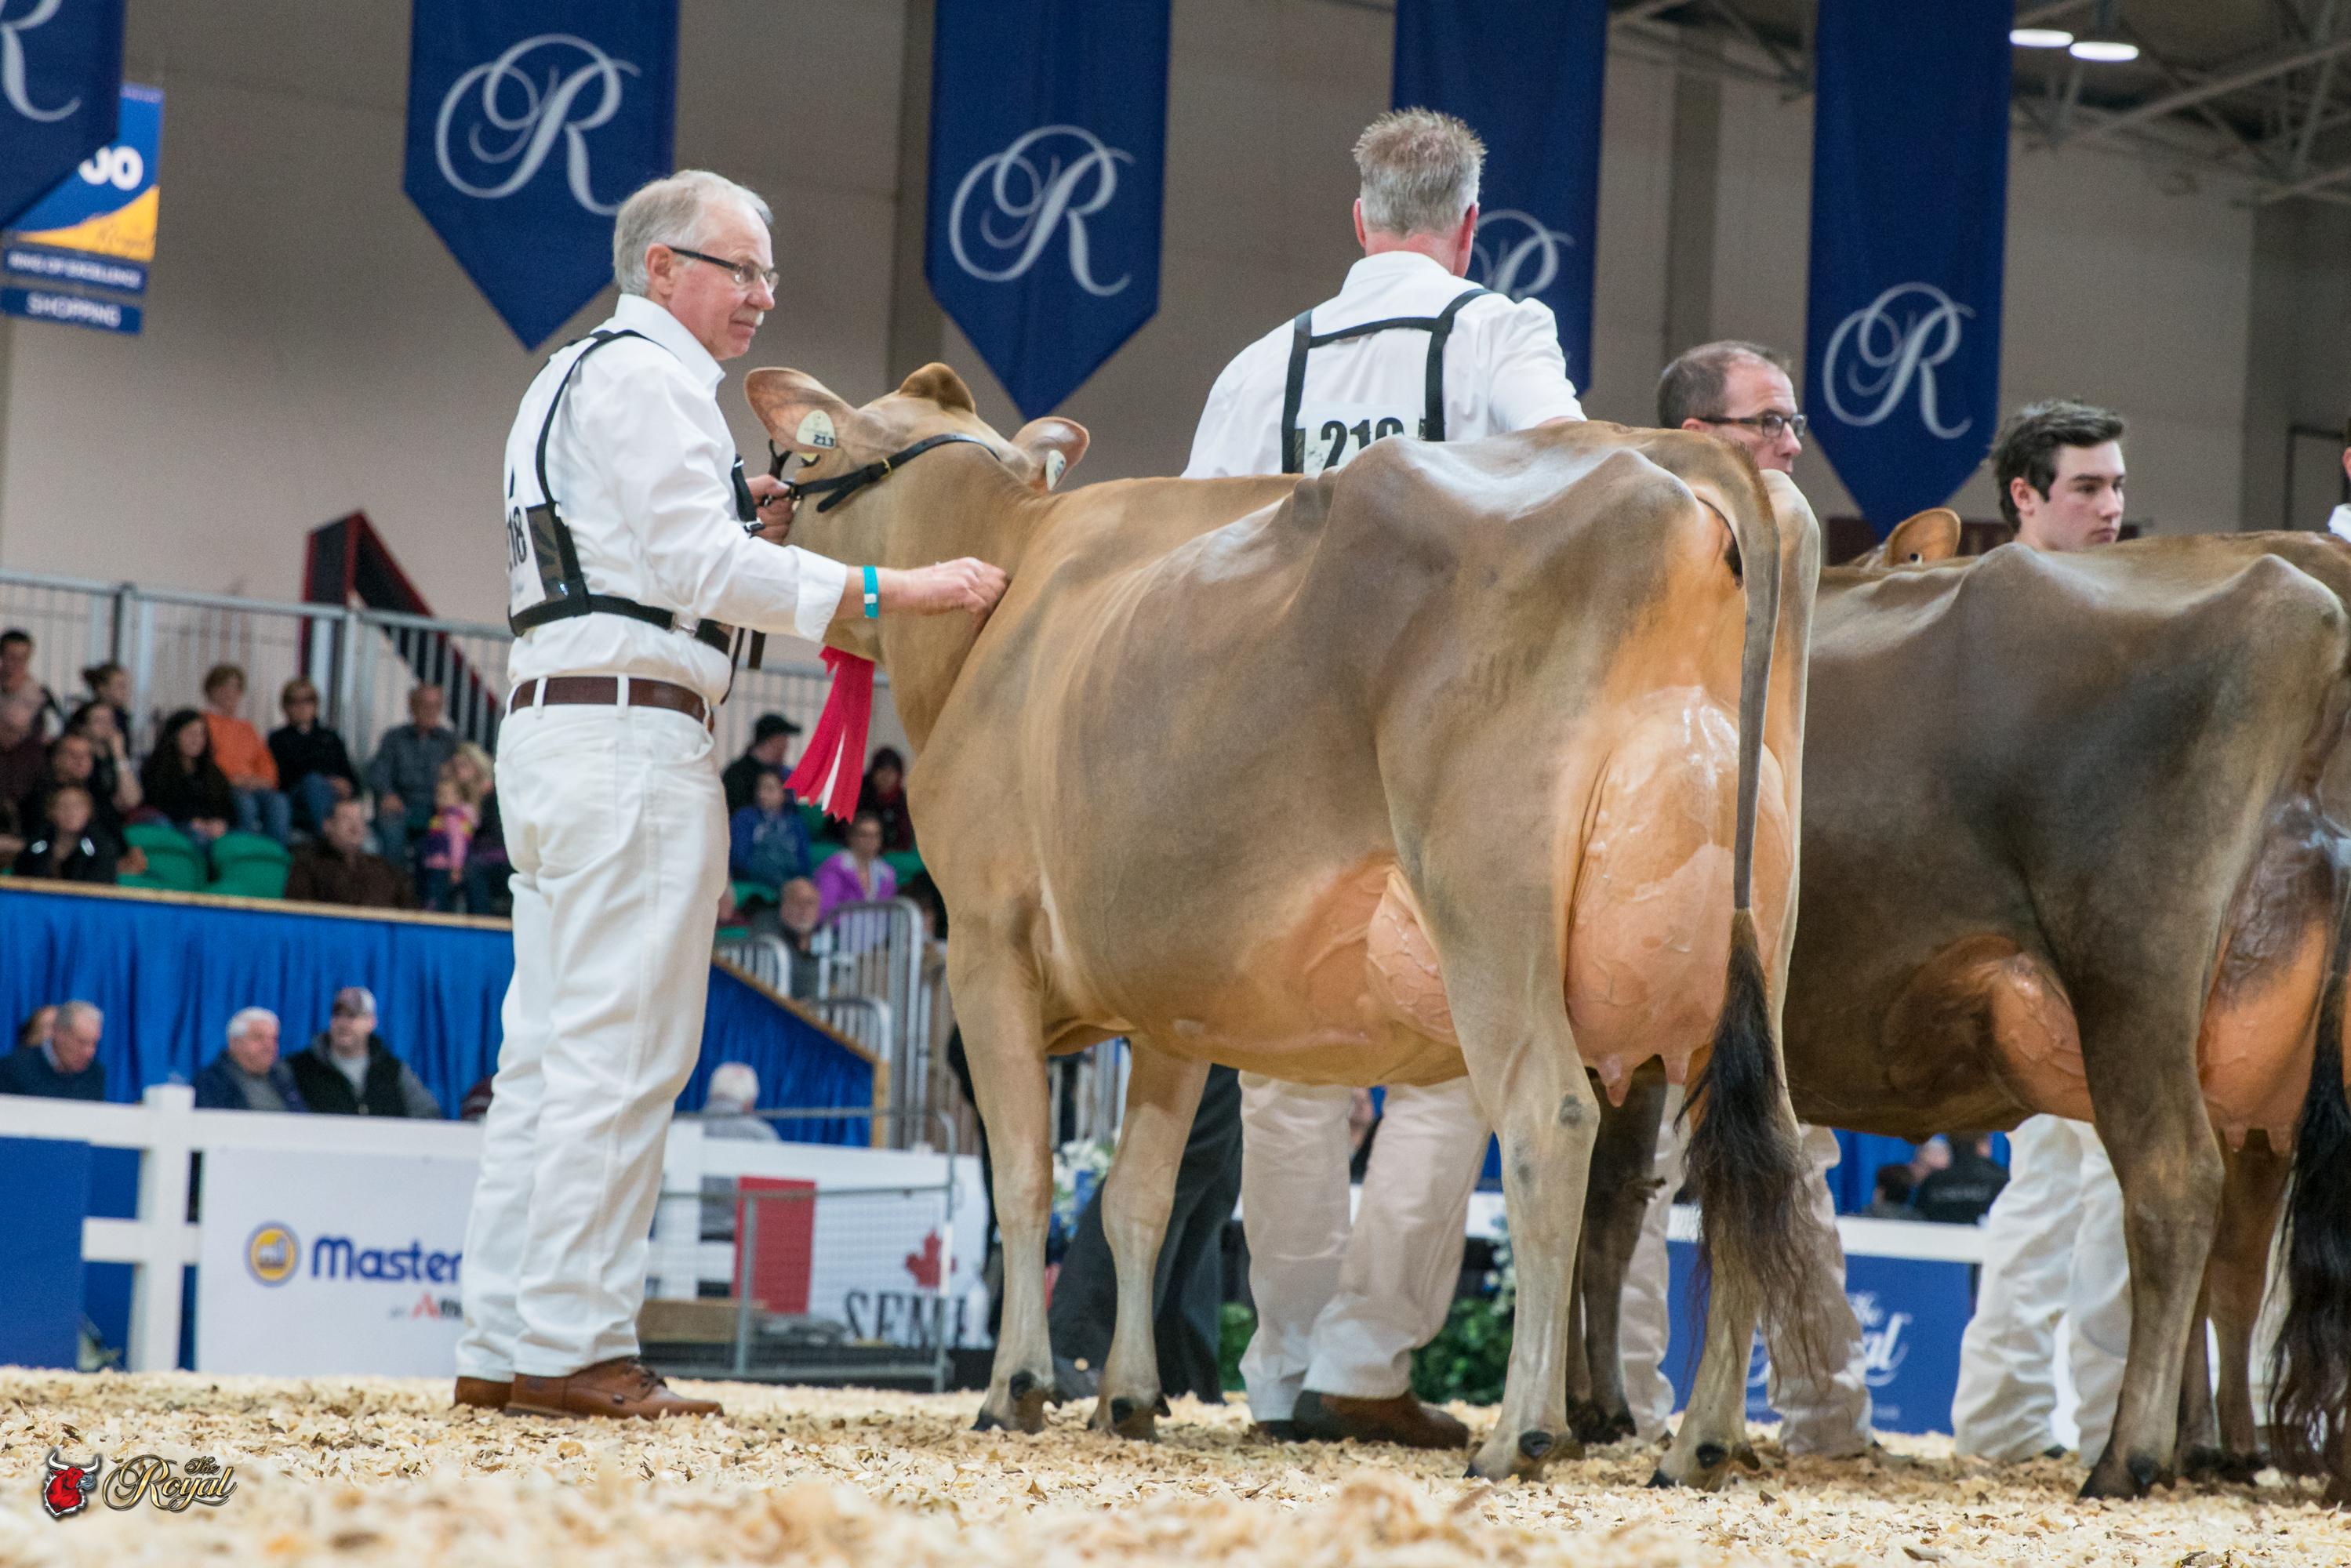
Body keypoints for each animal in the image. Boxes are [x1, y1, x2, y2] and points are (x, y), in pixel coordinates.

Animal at [742, 362, 1825, 1483]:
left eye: (809, 450)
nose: (760, 506)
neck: (1004, 587)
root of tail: (1663, 451)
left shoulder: (984, 943)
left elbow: (1025, 1176)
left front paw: (1017, 1387)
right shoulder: (1169, 1010)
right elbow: (1137, 1195)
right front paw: (1127, 1395)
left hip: (1489, 902)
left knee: (1551, 1117)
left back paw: (1520, 1430)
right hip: (1750, 930)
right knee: (1755, 1154)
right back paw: (1699, 1440)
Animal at [1579, 524, 2351, 1501]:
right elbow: (1607, 1208)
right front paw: (1595, 1409)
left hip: (2129, 973)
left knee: (2174, 1187)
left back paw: (2128, 1454)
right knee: (2235, 1252)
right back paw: (2215, 1450)